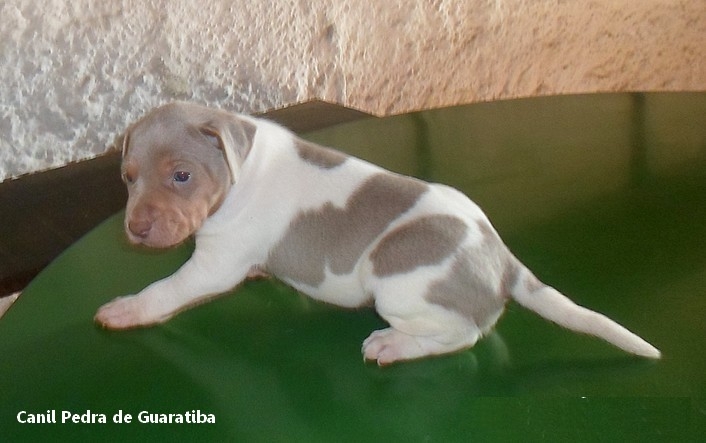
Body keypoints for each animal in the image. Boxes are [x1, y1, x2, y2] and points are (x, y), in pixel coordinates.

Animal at [95, 102, 660, 366]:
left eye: (182, 176)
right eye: (128, 178)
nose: (135, 229)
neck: (242, 167)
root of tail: (502, 261)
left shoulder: (214, 263)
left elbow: (165, 289)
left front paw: (127, 308)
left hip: (397, 281)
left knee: (464, 334)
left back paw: (395, 345)